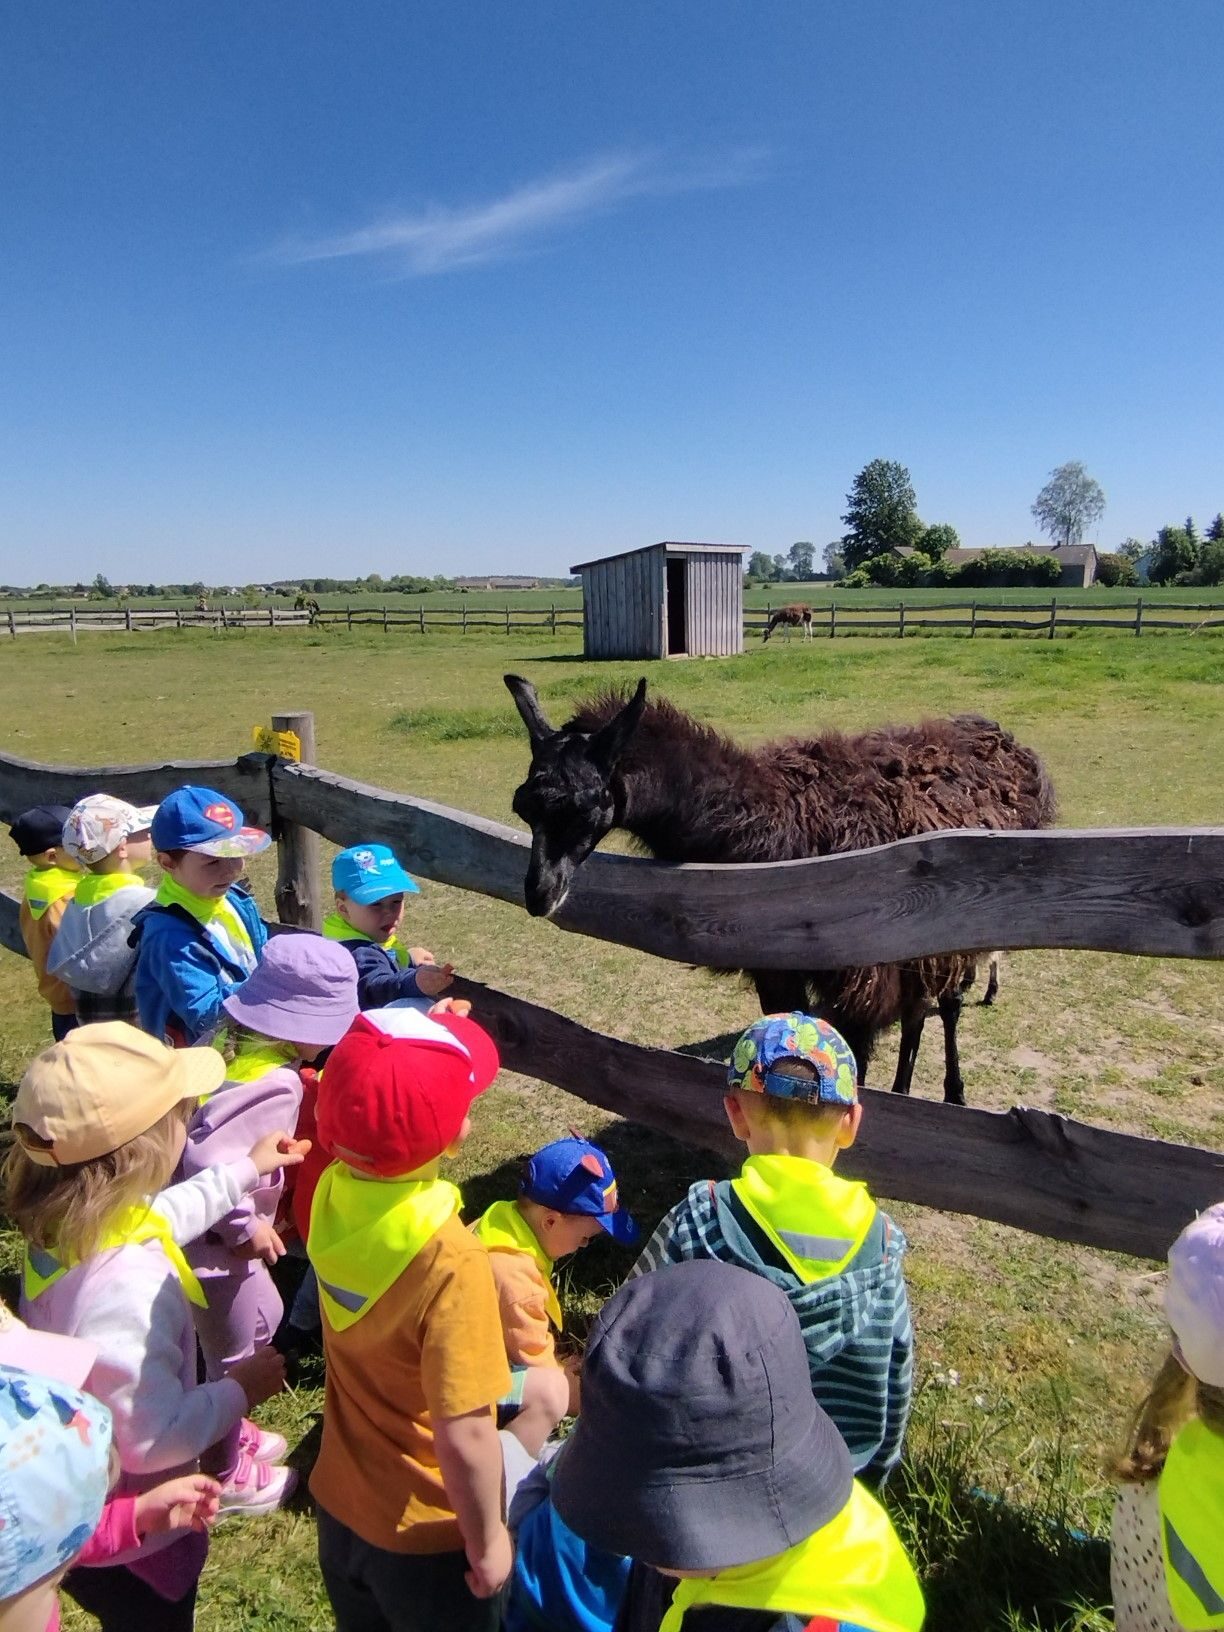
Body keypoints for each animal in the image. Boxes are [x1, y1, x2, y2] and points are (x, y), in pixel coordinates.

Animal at [505, 676, 1055, 1104]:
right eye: (524, 806)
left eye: (588, 802)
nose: (539, 892)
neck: (780, 830)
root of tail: (1010, 743)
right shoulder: (777, 970)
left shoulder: (861, 978)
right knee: (920, 1008)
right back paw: (905, 1088)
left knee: (949, 1004)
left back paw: (952, 1092)